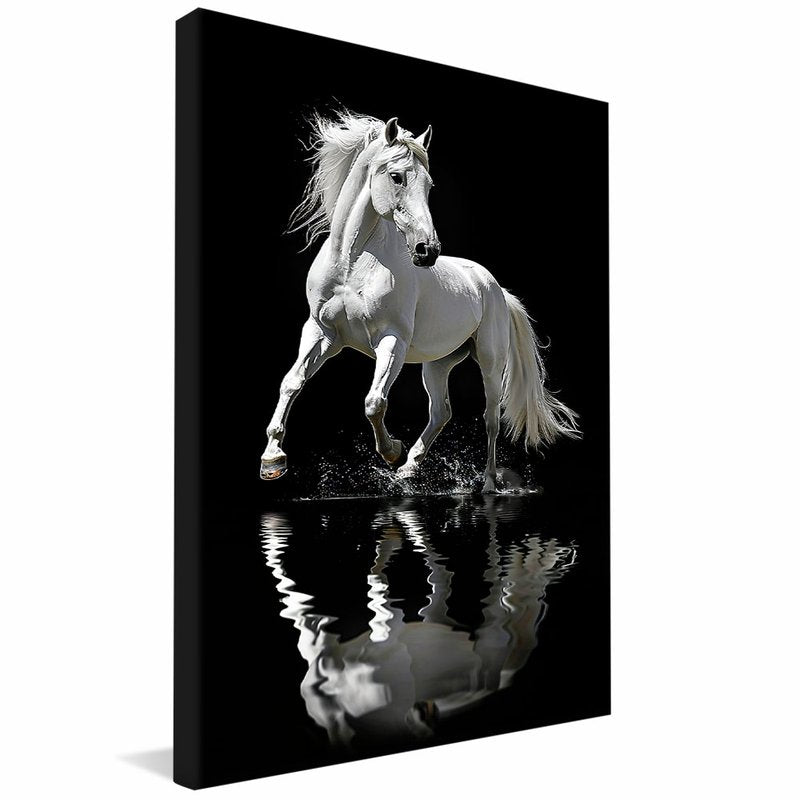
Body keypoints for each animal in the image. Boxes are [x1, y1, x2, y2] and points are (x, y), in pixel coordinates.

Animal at [260, 112, 578, 492]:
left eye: (429, 185)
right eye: (396, 176)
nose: (428, 251)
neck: (353, 265)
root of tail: (495, 288)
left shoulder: (391, 339)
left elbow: (374, 402)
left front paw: (391, 451)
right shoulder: (322, 333)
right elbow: (292, 382)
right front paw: (272, 461)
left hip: (490, 360)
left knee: (490, 418)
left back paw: (486, 484)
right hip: (437, 364)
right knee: (441, 412)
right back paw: (409, 469)